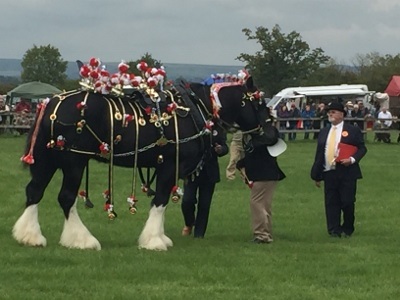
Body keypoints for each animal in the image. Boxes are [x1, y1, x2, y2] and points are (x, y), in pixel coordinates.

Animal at [13, 76, 276, 250]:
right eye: (259, 103)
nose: (272, 135)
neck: (195, 109)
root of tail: (49, 103)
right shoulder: (170, 166)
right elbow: (160, 201)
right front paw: (155, 240)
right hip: (73, 161)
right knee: (66, 197)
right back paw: (82, 240)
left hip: (47, 160)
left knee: (34, 191)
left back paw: (30, 236)